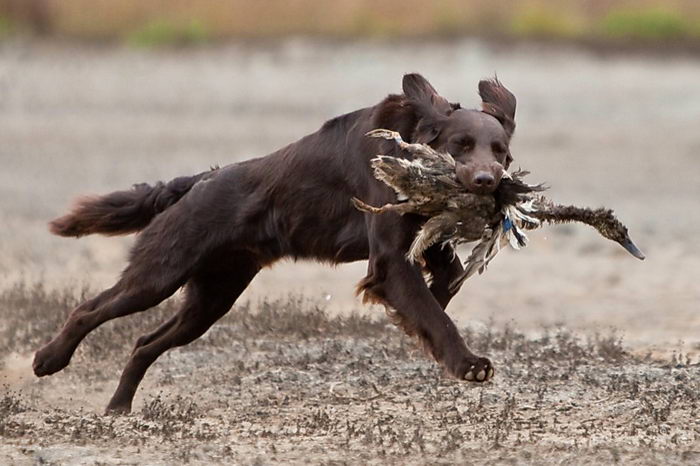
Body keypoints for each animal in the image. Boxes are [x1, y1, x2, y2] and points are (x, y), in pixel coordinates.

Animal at [34, 74, 516, 414]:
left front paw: (422, 312)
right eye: (460, 145)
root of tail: (200, 180)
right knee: (89, 310)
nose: (487, 182)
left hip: (212, 297)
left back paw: (119, 406)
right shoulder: (390, 258)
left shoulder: (419, 237)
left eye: (499, 150)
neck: (409, 144)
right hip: (159, 274)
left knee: (143, 343)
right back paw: (48, 359)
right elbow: (434, 313)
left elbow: (445, 284)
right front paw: (466, 361)